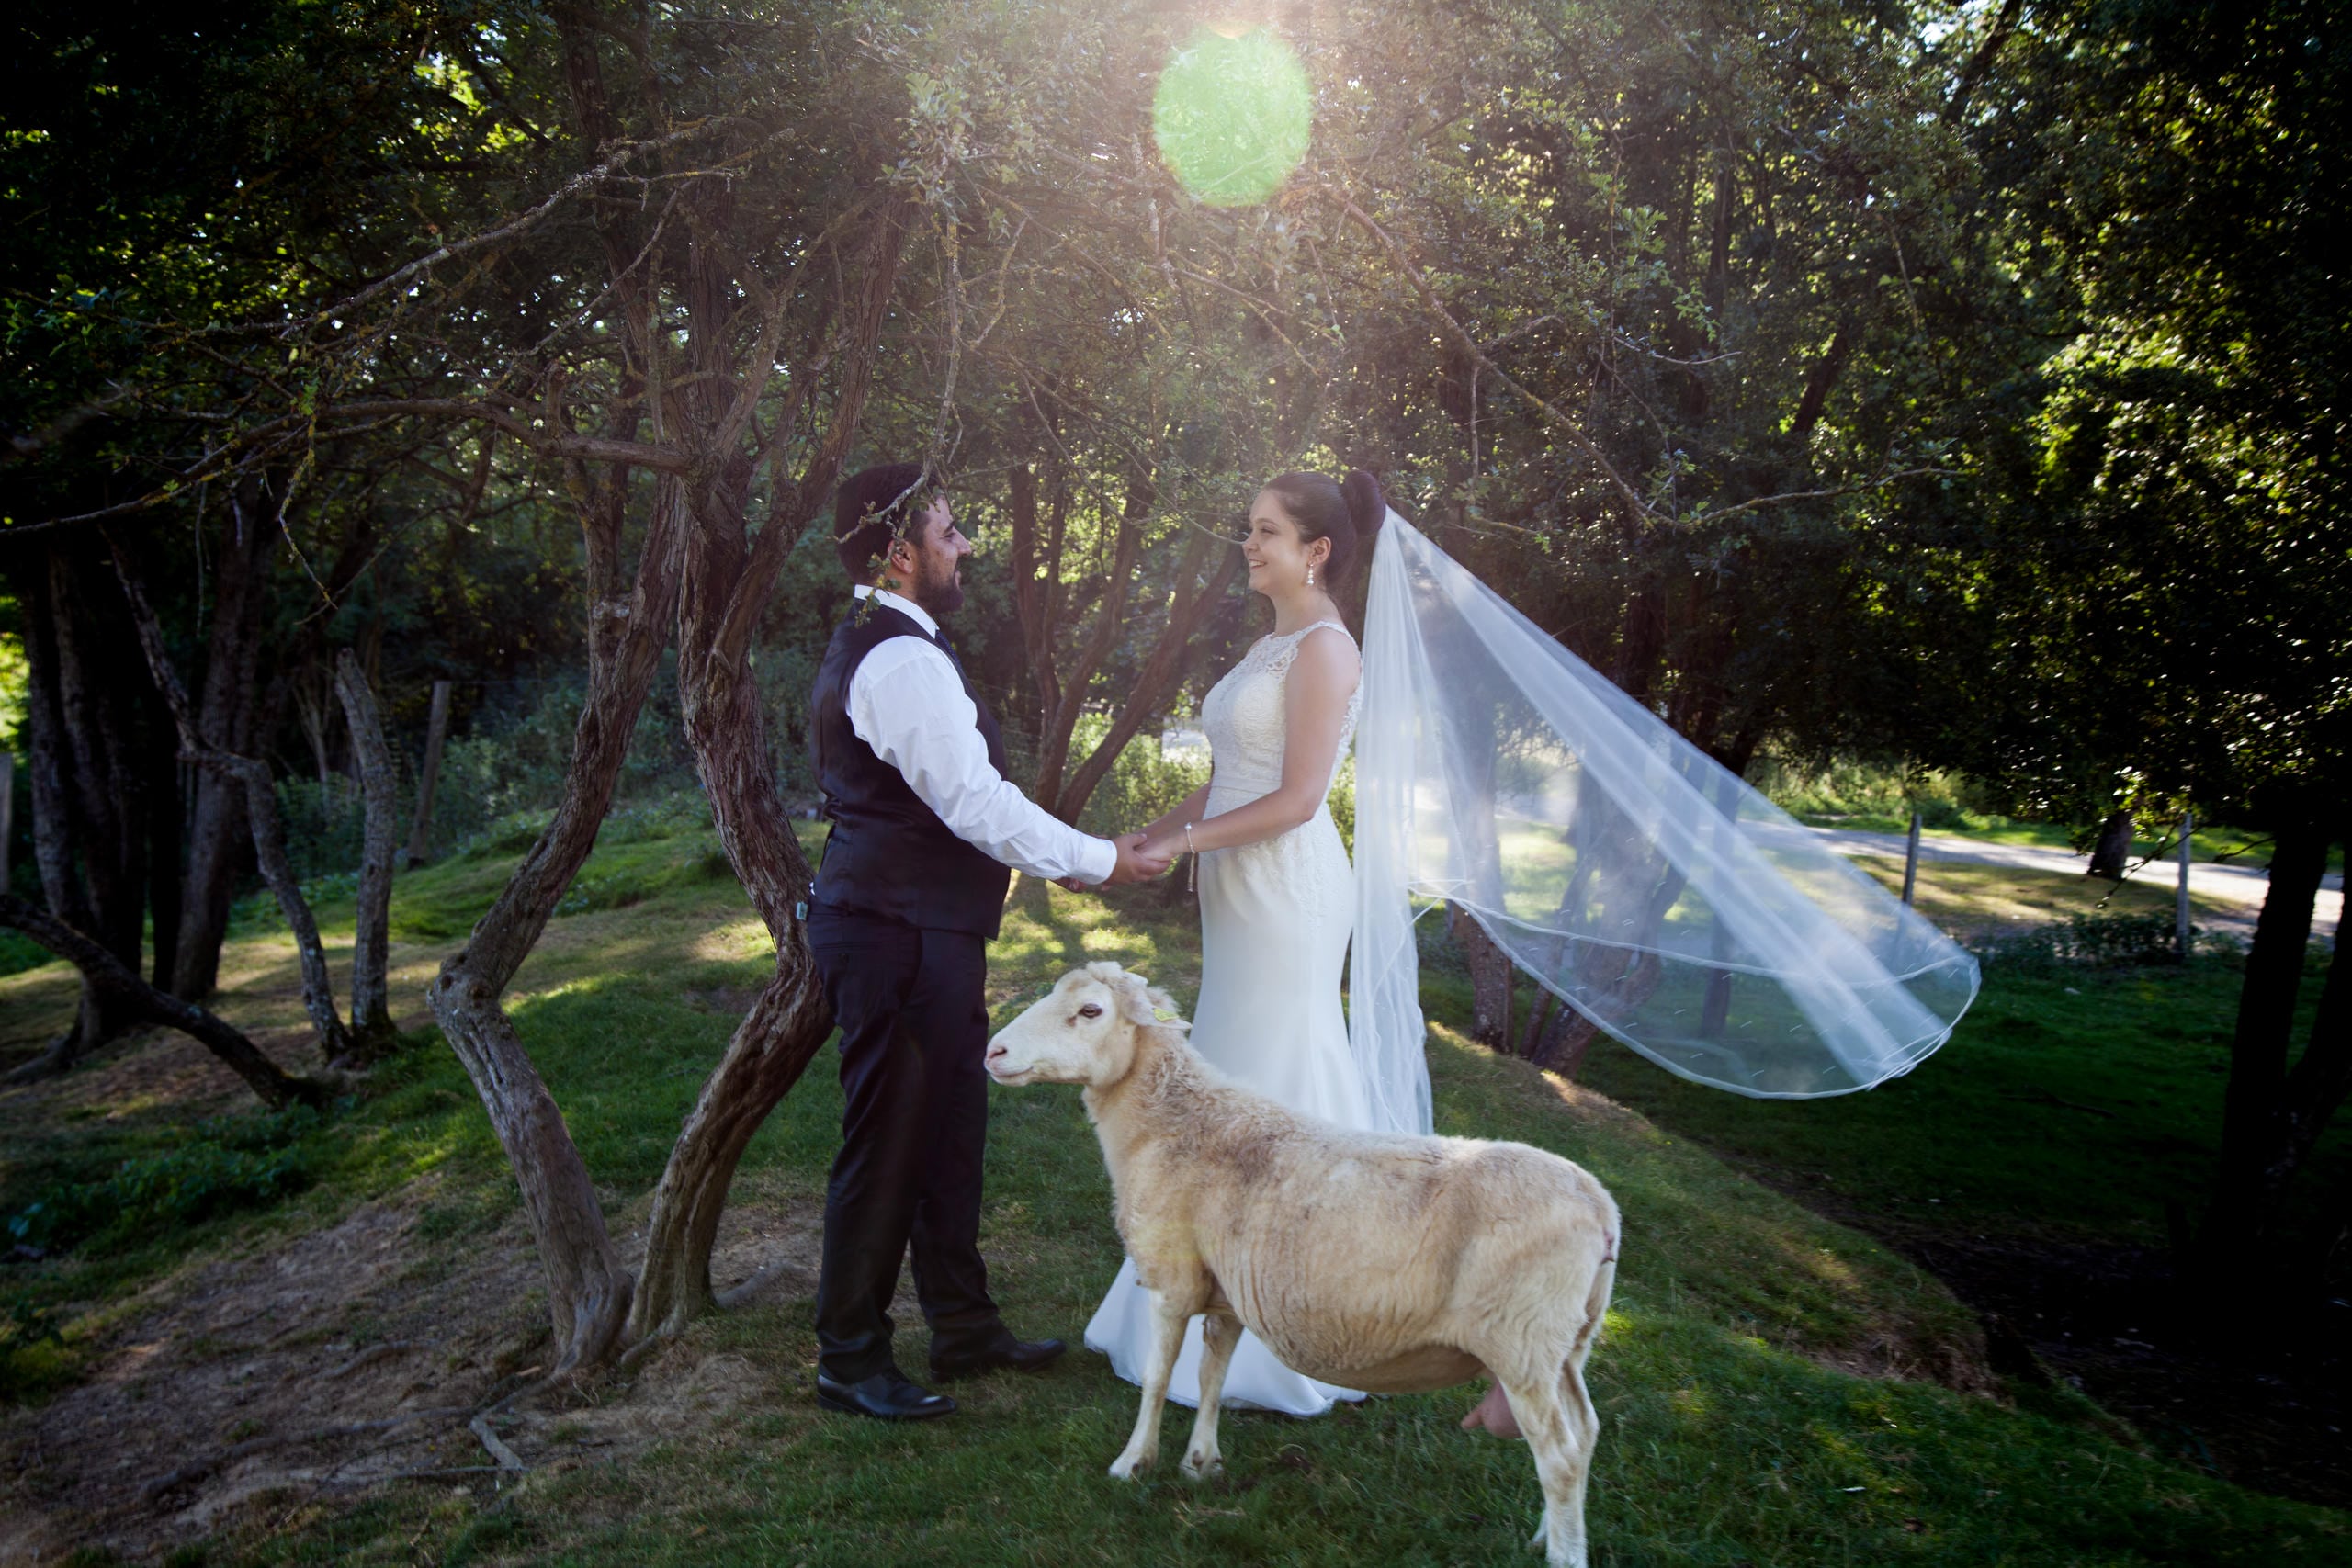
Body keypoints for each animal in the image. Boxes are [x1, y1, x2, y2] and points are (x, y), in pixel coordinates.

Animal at [985, 962, 1620, 1568]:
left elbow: (1159, 1377)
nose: (994, 1052)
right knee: (1585, 1434)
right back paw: (1547, 1536)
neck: (1172, 1124)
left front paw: (1133, 1463)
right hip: (1564, 1346)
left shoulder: (1172, 1280)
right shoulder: (1227, 1290)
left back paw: (1565, 1555)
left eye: (1091, 1010)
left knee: (1560, 1455)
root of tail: (1601, 1207)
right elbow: (1211, 1374)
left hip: (1522, 1343)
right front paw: (1201, 1463)